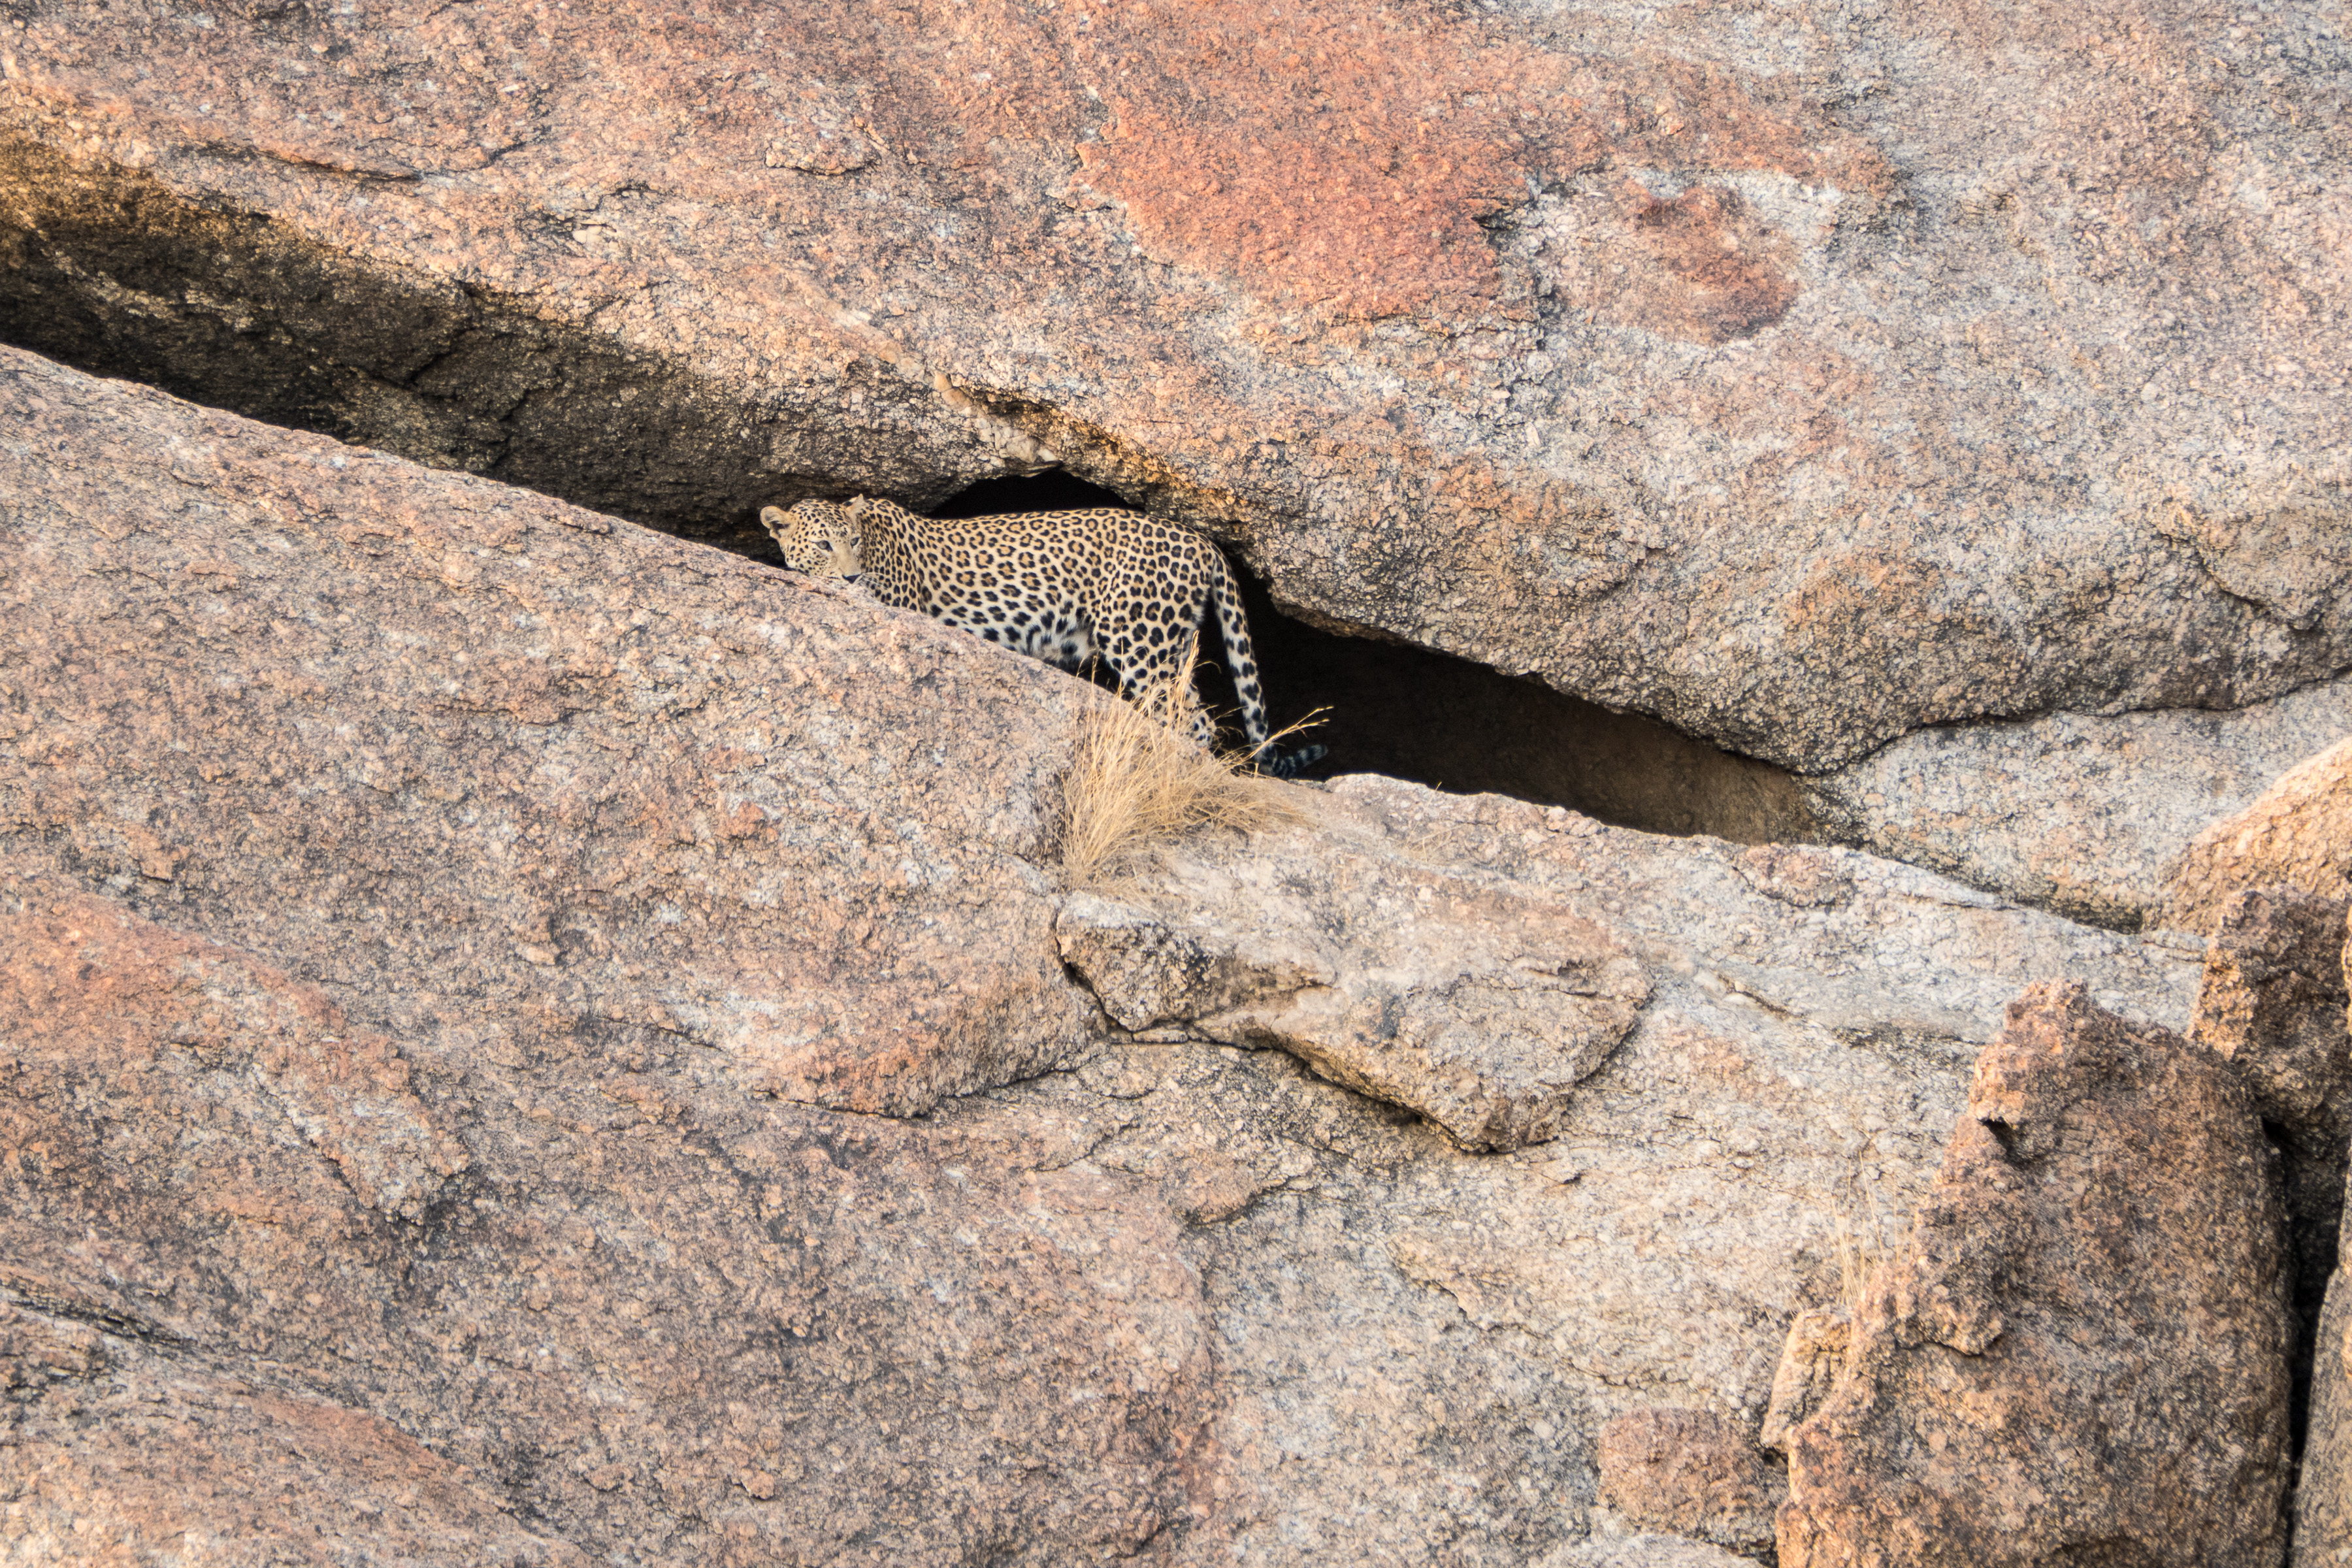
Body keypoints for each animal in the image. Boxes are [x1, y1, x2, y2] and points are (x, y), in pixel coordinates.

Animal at [759, 494, 1326, 778]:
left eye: (854, 541)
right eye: (825, 545)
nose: (852, 577)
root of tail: (1201, 538)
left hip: (1138, 639)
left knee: (1194, 722)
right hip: (1171, 643)